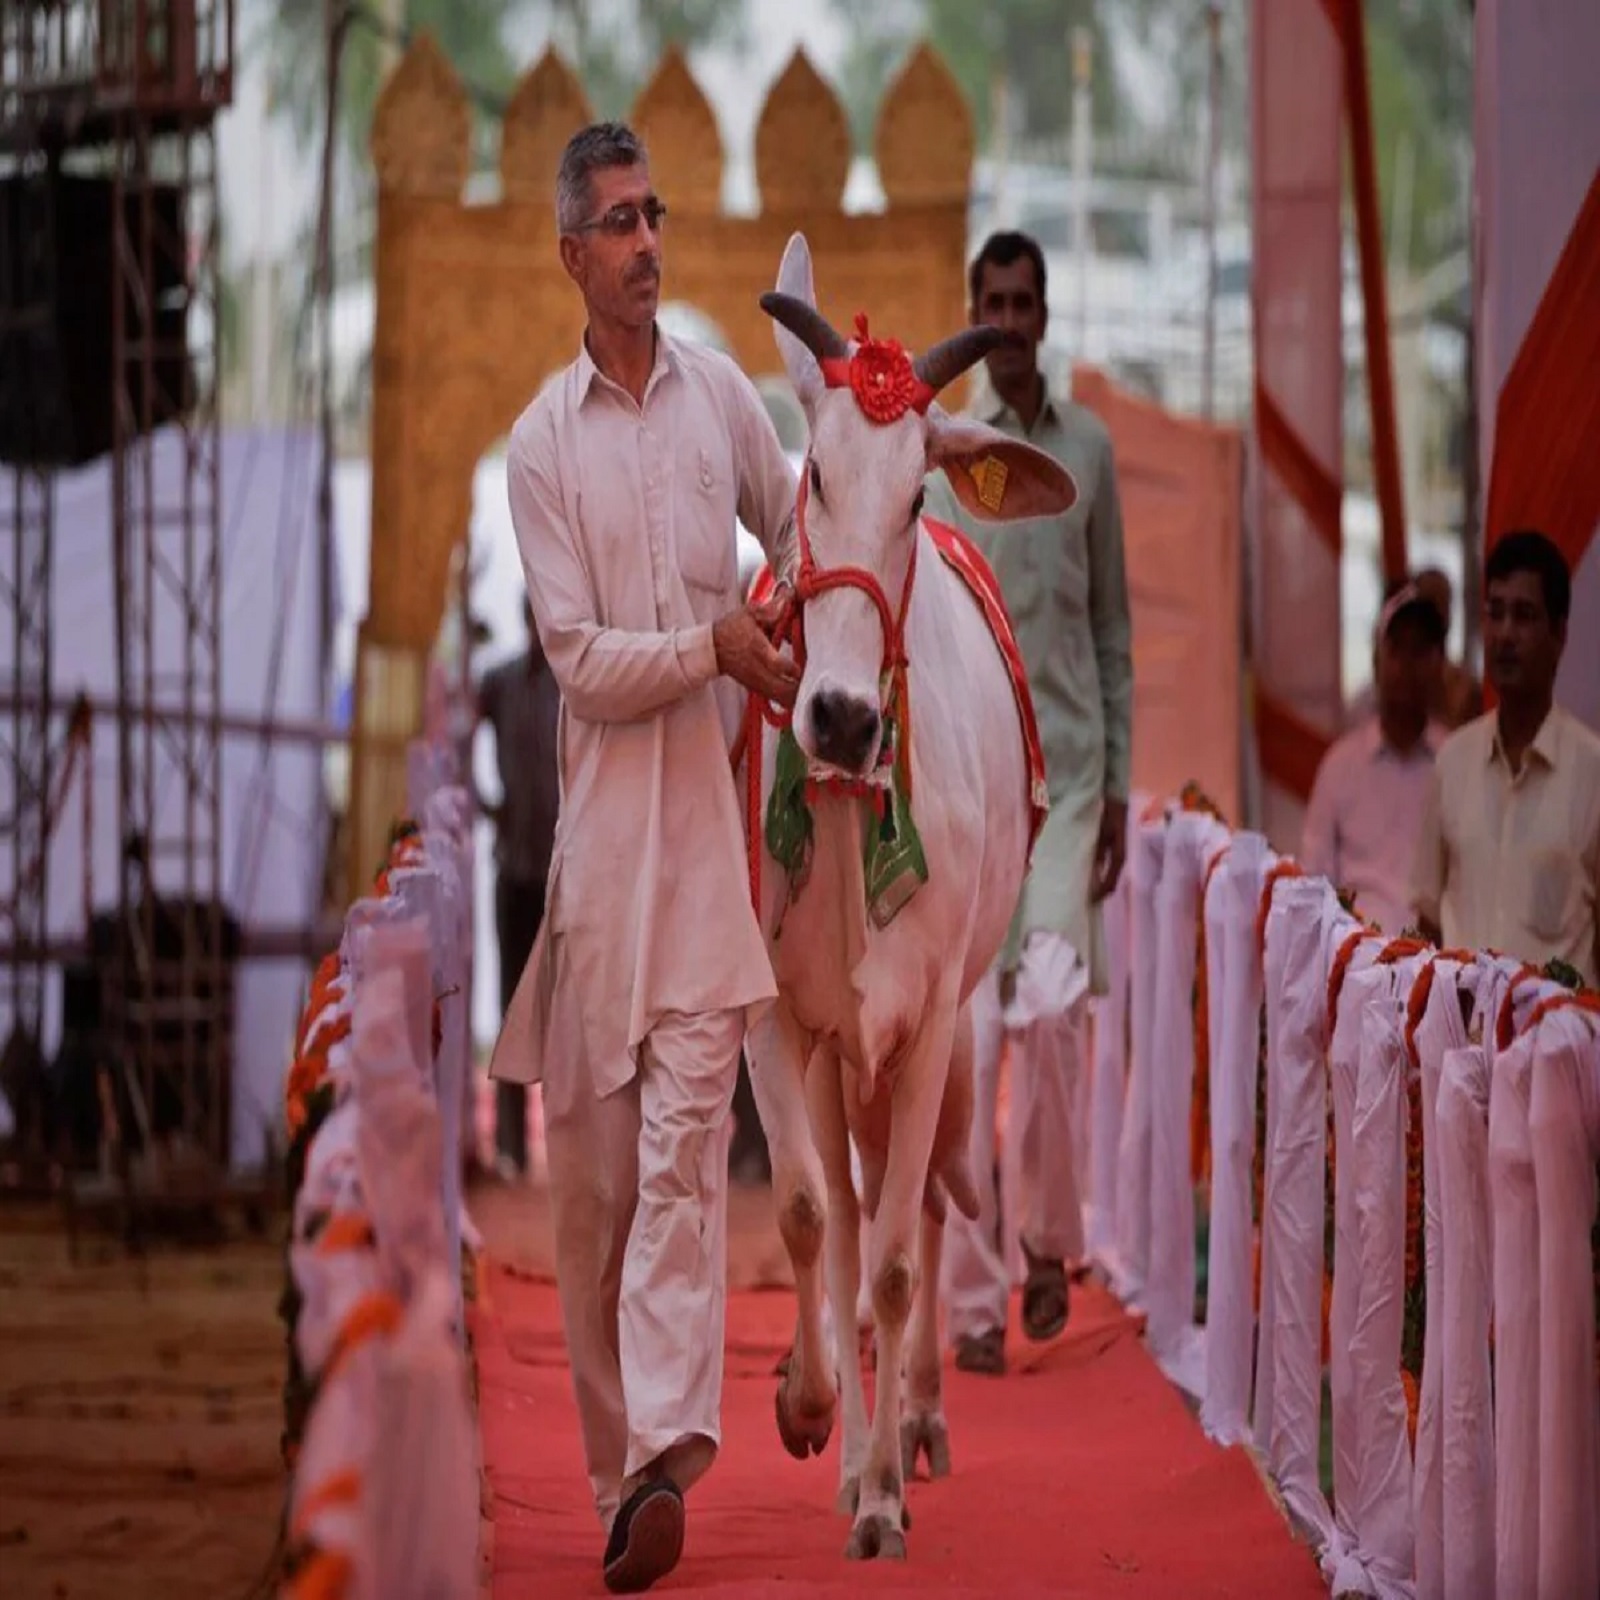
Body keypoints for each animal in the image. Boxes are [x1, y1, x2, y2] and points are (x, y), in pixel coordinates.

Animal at [740, 231, 1078, 1560]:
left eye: (919, 499)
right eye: (813, 475)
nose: (837, 717)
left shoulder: (931, 1017)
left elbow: (890, 1255)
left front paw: (883, 1491)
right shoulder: (779, 1013)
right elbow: (803, 1213)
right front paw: (806, 1408)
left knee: (922, 1206)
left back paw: (918, 1419)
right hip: (844, 1052)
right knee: (843, 1207)